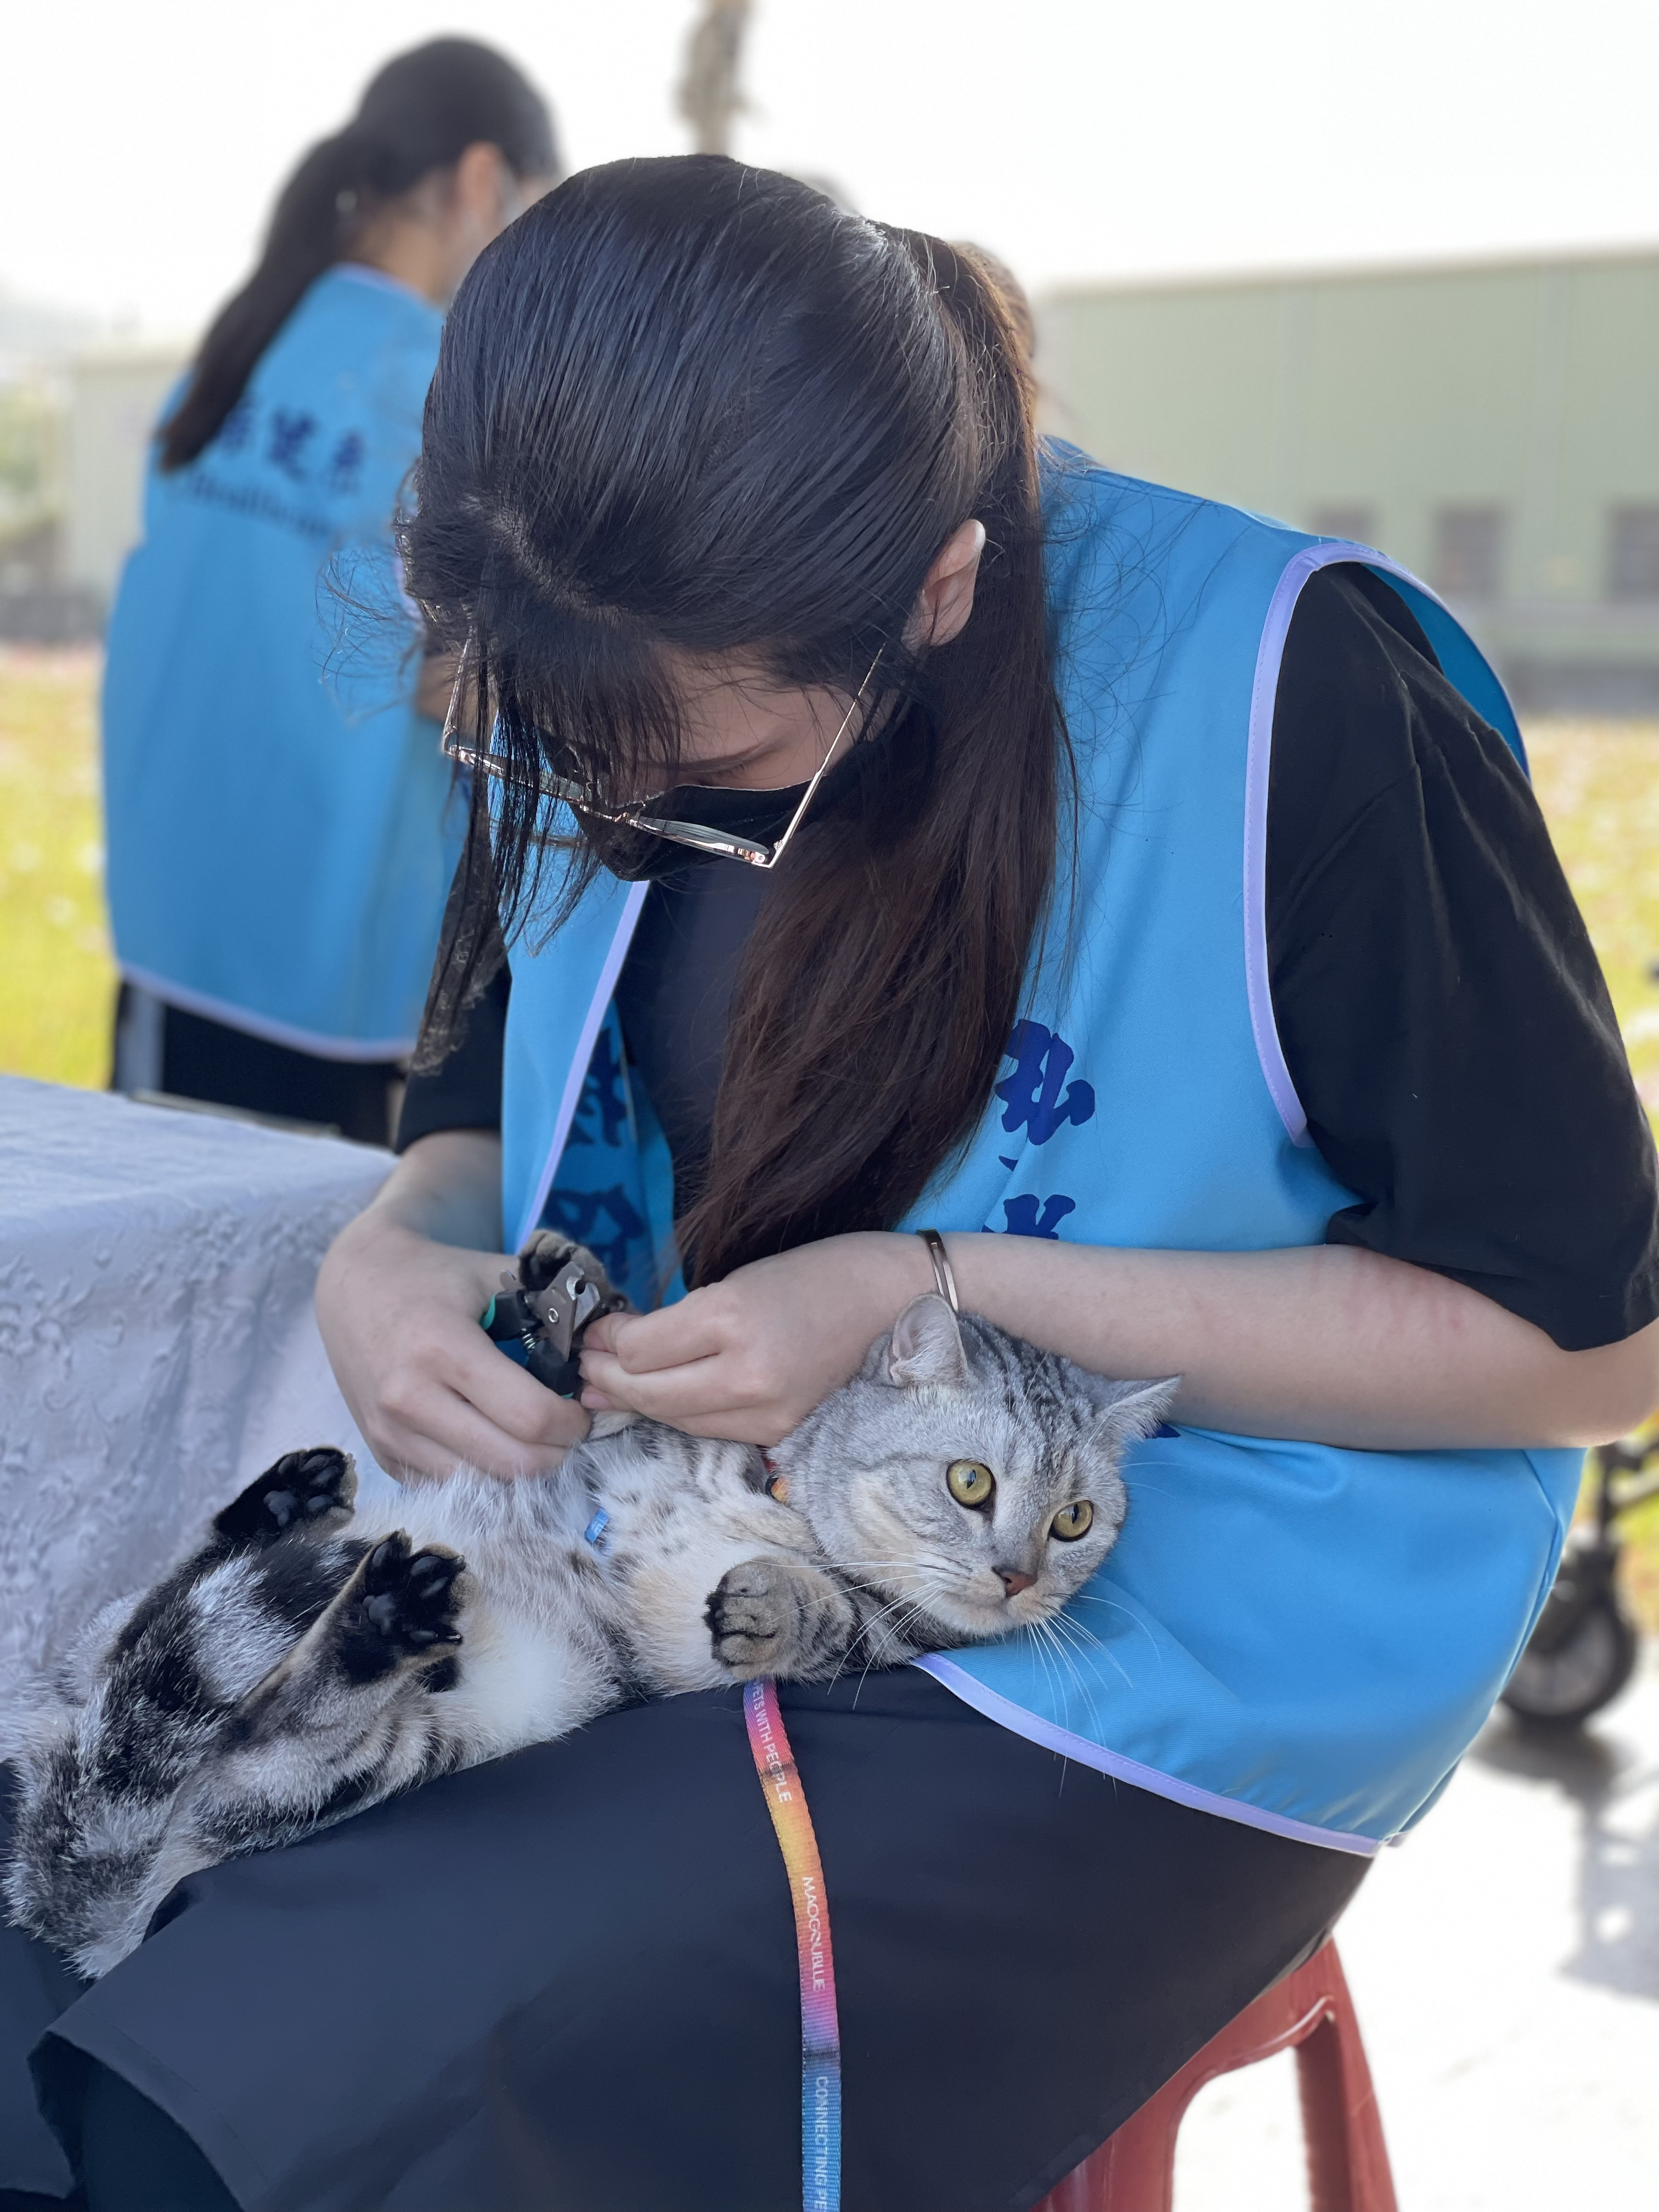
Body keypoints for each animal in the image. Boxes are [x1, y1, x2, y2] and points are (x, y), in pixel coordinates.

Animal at [6, 1238, 1177, 1982]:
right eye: (971, 1483)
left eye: (1073, 1519)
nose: (1018, 1577)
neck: (779, 1496)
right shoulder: (621, 1436)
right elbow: (597, 1400)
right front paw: (570, 1306)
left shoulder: (831, 1641)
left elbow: (834, 1622)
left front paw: (774, 1602)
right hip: (151, 1657)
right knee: (165, 1617)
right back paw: (285, 1506)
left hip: (411, 1743)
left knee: (266, 1750)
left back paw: (375, 1611)